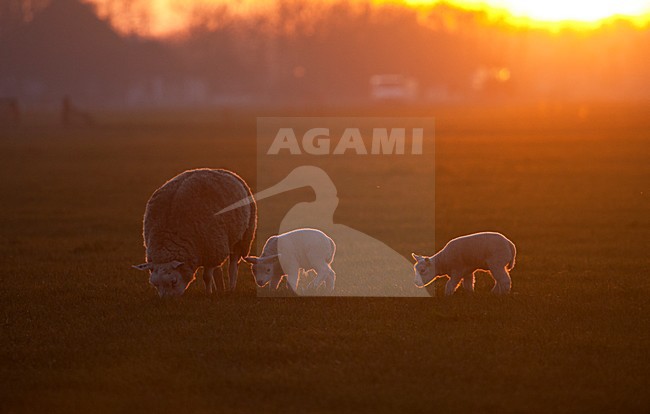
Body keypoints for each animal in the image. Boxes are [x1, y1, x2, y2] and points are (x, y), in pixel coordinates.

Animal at [132, 168, 257, 298]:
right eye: (155, 284)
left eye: (174, 281)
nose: (167, 300)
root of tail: (218, 170)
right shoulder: (211, 248)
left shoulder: (210, 248)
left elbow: (206, 277)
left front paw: (208, 294)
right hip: (220, 243)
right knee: (218, 269)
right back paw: (220, 289)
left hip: (242, 237)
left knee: (232, 266)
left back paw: (231, 288)